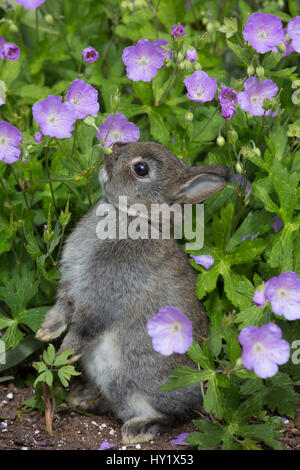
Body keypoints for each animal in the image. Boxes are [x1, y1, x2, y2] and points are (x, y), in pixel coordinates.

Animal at [36, 141, 231, 442]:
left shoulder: (103, 297)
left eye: (141, 168)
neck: (132, 216)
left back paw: (136, 429)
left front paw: (60, 358)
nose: (110, 152)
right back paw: (83, 397)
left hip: (138, 388)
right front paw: (45, 333)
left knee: (172, 417)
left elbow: (83, 328)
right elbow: (61, 308)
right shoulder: (71, 285)